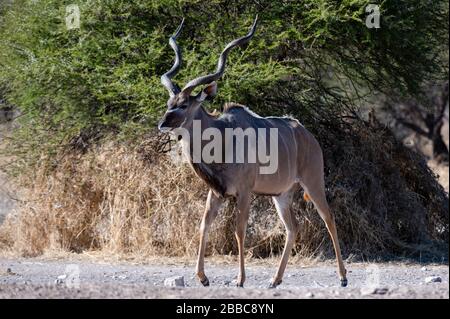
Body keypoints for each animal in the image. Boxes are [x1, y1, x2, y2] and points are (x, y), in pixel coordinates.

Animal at [158, 16, 348, 288]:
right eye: (168, 103)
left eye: (183, 105)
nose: (162, 124)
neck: (223, 138)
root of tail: (308, 136)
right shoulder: (216, 192)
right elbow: (204, 225)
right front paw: (202, 278)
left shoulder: (245, 192)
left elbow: (239, 230)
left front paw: (239, 279)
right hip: (282, 195)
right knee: (292, 227)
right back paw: (275, 280)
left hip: (313, 183)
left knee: (328, 217)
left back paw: (342, 278)